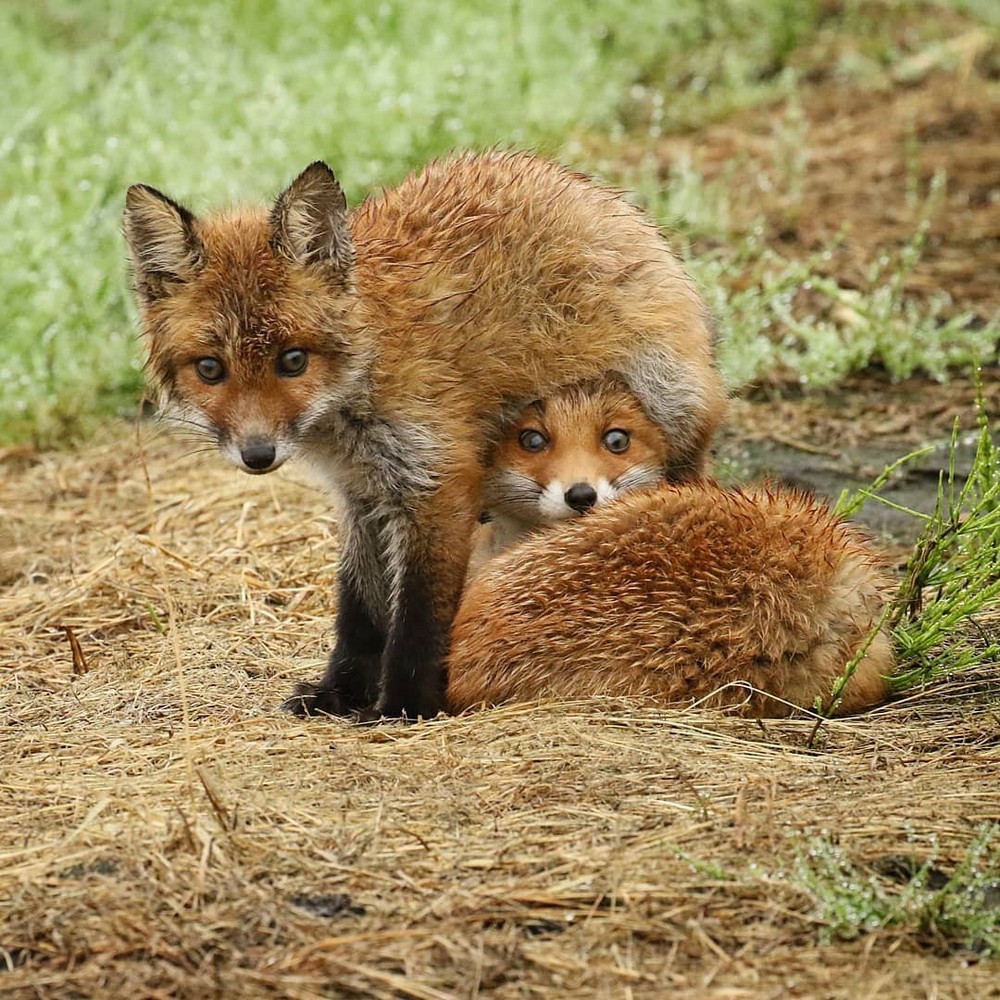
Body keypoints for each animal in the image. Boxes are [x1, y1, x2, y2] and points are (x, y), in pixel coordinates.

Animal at [125, 150, 728, 720]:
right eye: (210, 369)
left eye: (293, 360)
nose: (257, 454)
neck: (355, 389)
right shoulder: (360, 493)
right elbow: (360, 611)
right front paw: (340, 693)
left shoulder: (436, 480)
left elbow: (418, 616)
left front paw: (402, 707)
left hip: (668, 417)